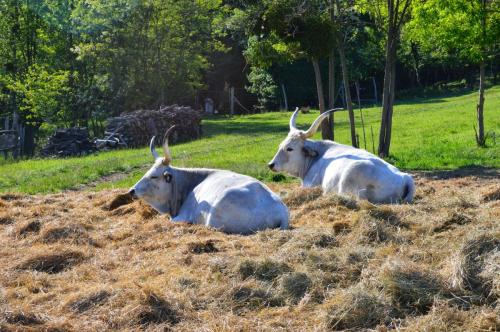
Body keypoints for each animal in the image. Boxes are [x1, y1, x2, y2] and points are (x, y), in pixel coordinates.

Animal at [268, 108, 416, 202]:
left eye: (290, 148)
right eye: (280, 145)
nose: (271, 164)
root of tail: (404, 177)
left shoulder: (309, 184)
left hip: (349, 180)